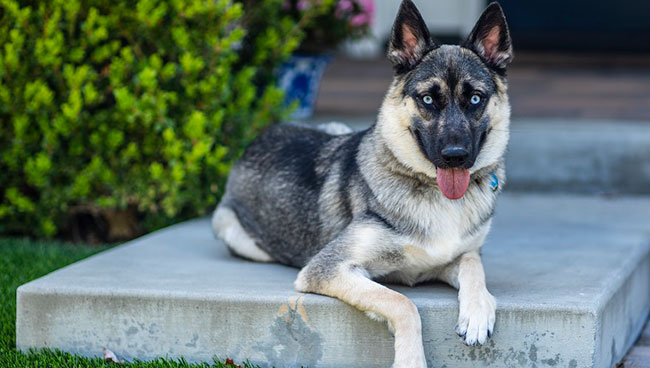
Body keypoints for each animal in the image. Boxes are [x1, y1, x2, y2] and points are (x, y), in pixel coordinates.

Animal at [213, 2, 512, 366]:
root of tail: (261, 137)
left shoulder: (458, 257)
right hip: (231, 229)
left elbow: (472, 265)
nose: (455, 157)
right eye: (427, 100)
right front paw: (411, 359)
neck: (431, 189)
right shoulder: (330, 269)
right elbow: (403, 303)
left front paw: (478, 310)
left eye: (475, 99)